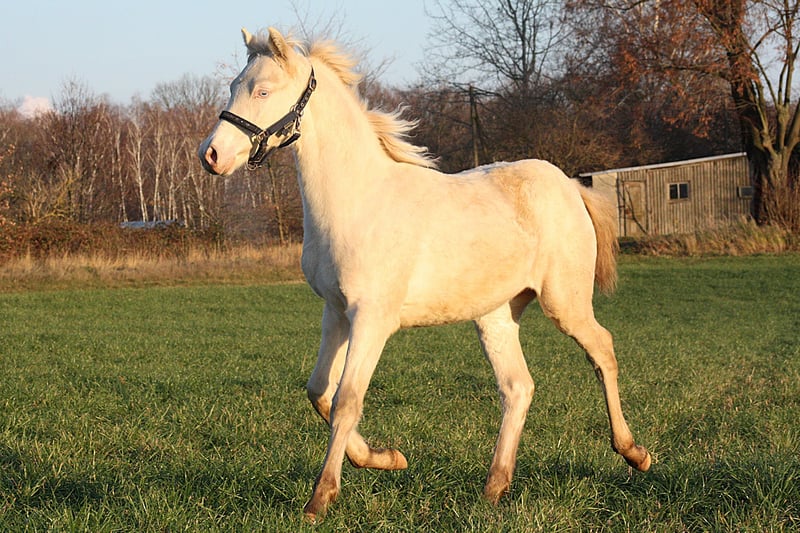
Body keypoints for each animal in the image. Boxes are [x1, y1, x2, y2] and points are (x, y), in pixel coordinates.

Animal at [198, 27, 651, 521]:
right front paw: (387, 459)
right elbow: (320, 392)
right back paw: (494, 488)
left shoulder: (372, 319)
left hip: (564, 303)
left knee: (602, 351)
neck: (356, 200)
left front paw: (320, 499)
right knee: (517, 387)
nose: (212, 155)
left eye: (262, 90)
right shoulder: (335, 313)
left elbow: (347, 400)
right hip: (495, 317)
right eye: (233, 87)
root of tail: (569, 185)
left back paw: (634, 453)